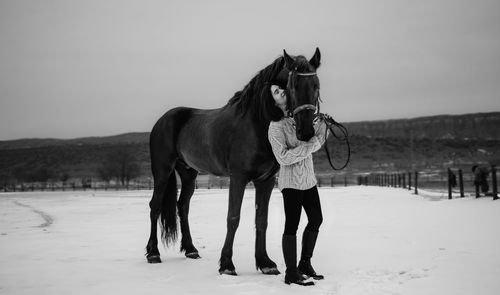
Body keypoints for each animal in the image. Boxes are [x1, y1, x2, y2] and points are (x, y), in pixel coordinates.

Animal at [146, 47, 322, 276]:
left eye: (316, 86)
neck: (256, 123)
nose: (306, 132)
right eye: (292, 87)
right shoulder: (238, 177)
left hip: (188, 173)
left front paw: (265, 262)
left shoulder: (265, 180)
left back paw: (191, 250)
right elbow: (233, 218)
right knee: (155, 206)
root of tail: (163, 120)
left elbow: (261, 220)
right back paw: (153, 253)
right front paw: (227, 264)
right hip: (162, 170)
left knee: (183, 206)